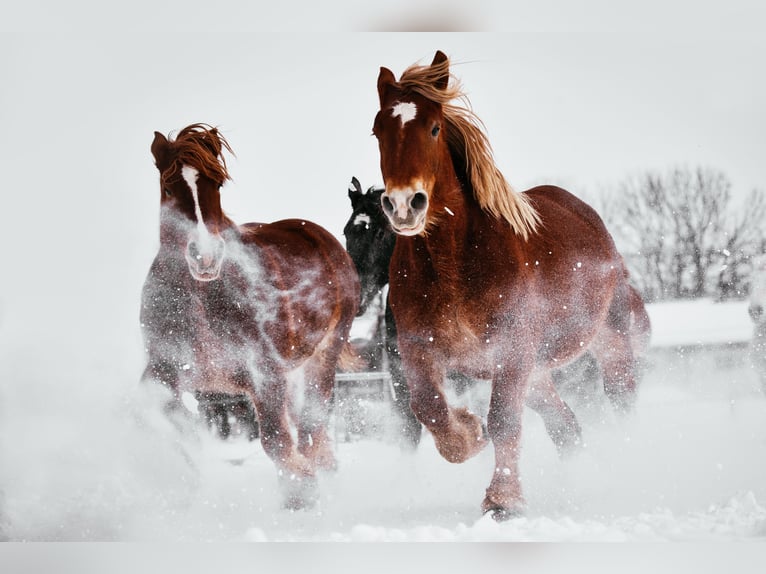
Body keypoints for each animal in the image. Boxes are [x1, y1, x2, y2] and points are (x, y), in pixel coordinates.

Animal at [140, 122, 360, 508]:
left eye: (217, 185)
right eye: (168, 186)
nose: (206, 256)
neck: (200, 299)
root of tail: (320, 236)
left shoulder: (265, 374)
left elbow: (275, 439)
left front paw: (301, 494)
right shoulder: (164, 370)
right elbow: (172, 420)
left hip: (323, 355)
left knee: (311, 425)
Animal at [376, 51, 652, 520]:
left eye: (433, 128)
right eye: (378, 131)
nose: (403, 205)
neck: (454, 266)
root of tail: (591, 220)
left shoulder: (511, 350)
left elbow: (504, 422)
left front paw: (502, 500)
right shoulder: (417, 350)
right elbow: (430, 409)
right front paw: (469, 434)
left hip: (605, 342)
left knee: (622, 401)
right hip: (536, 372)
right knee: (566, 427)